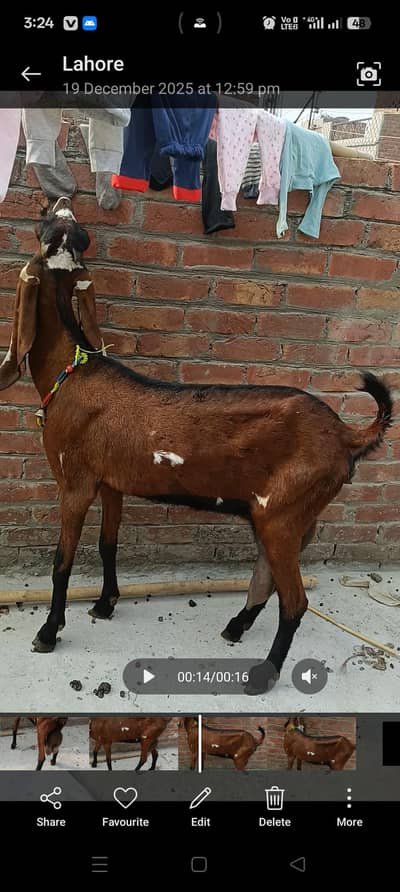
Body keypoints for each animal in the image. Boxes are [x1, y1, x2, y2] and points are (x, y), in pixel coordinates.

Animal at [0, 197, 393, 695]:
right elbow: (109, 544)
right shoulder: (112, 482)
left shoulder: (75, 481)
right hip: (286, 514)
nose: (61, 199)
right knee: (267, 575)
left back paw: (263, 673)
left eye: (47, 228)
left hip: (282, 513)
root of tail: (346, 436)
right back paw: (236, 627)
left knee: (296, 601)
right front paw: (106, 604)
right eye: (68, 230)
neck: (73, 372)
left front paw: (48, 633)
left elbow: (61, 562)